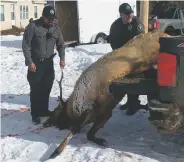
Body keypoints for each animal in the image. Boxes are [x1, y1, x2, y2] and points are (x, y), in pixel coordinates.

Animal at [42, 30, 170, 158]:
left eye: (55, 111)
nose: (45, 123)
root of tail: (165, 34)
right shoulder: (105, 112)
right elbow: (88, 133)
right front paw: (100, 140)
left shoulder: (97, 105)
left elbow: (74, 130)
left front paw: (56, 151)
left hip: (147, 55)